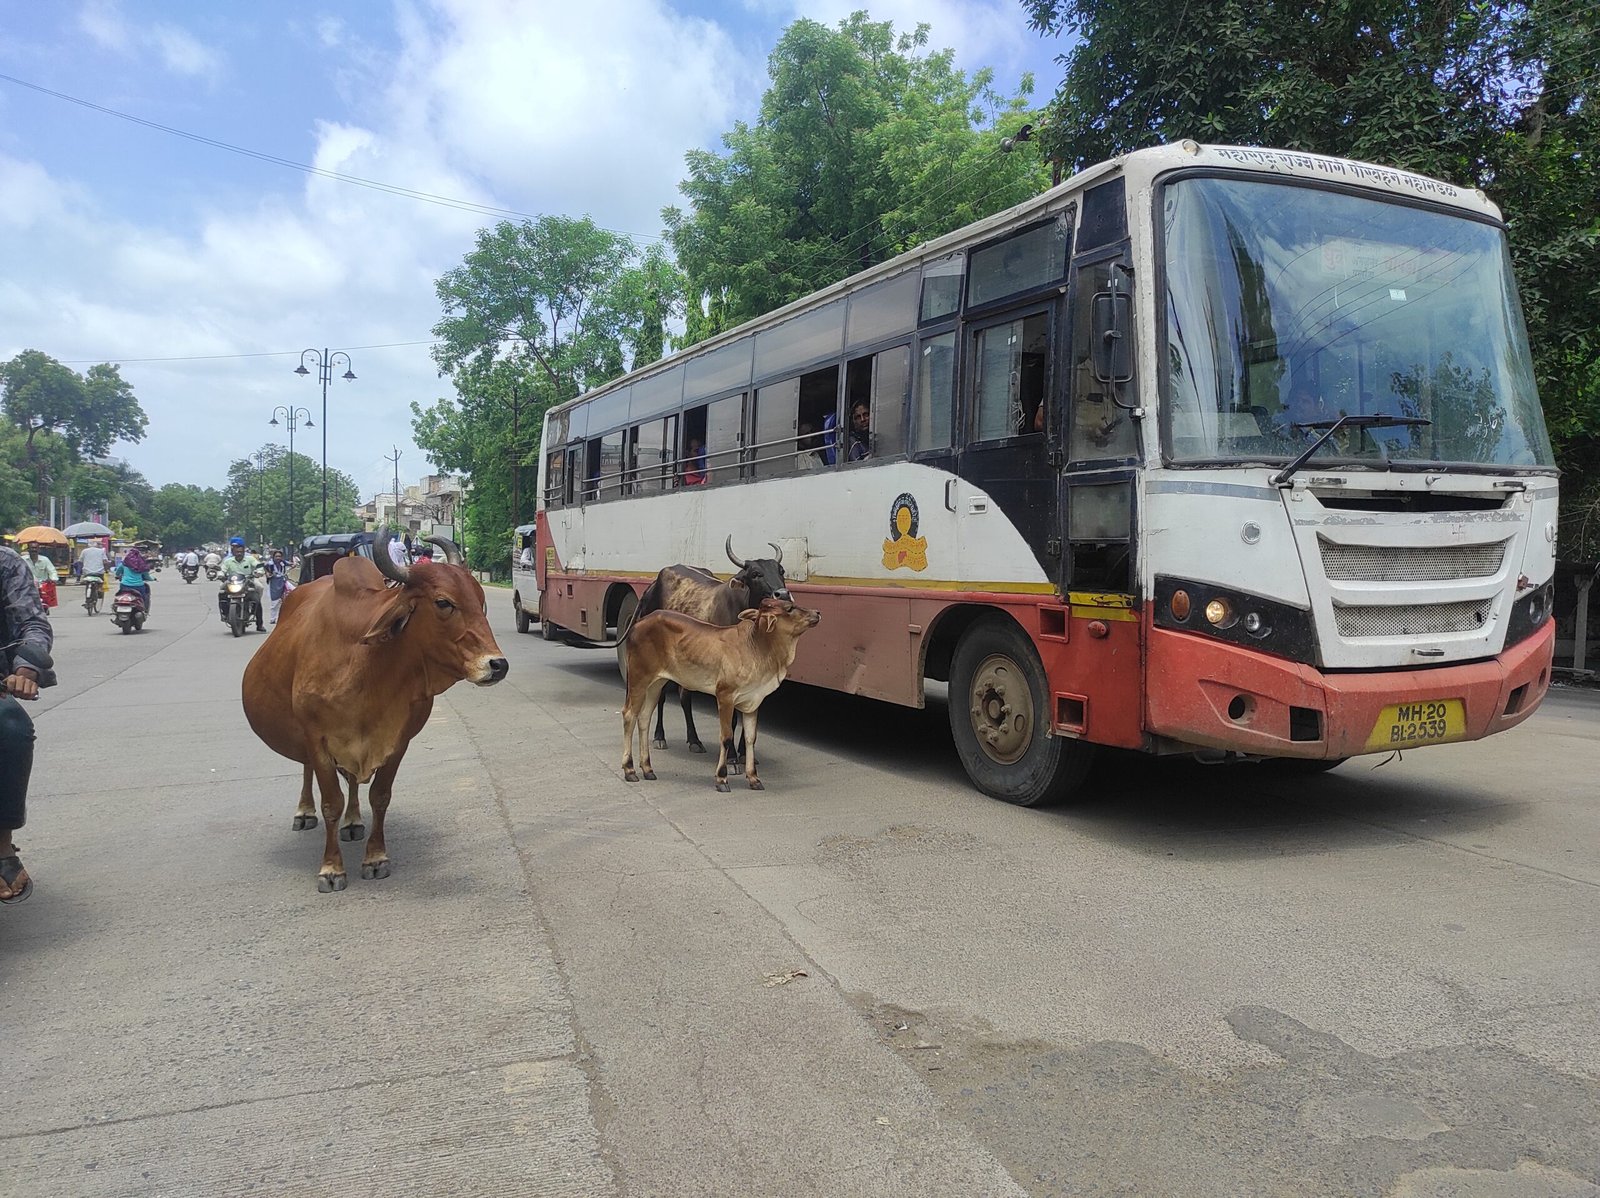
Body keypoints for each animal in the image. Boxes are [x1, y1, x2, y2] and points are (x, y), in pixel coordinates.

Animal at [241, 534, 505, 889]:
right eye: (443, 603)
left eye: (481, 600)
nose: (497, 664)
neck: (368, 667)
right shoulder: (316, 738)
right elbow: (330, 802)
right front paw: (331, 868)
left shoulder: (397, 740)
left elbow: (380, 796)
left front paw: (376, 857)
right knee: (307, 770)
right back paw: (304, 812)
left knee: (353, 782)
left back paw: (353, 821)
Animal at [620, 595, 819, 790]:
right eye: (790, 608)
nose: (817, 612)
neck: (757, 647)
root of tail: (638, 623)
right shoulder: (725, 696)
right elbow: (726, 737)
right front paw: (722, 778)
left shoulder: (752, 701)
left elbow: (750, 738)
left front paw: (754, 778)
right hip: (638, 679)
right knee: (629, 715)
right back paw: (629, 770)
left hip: (655, 684)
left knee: (644, 718)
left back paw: (647, 769)